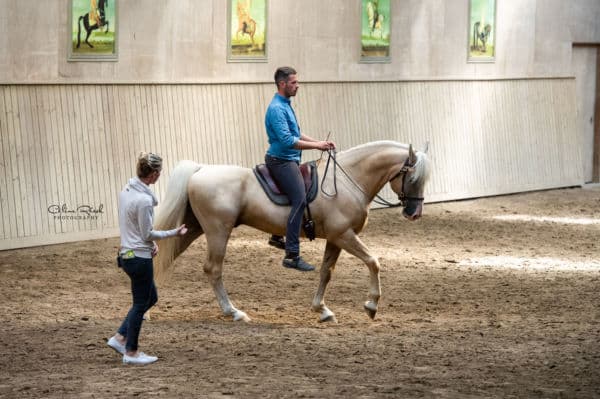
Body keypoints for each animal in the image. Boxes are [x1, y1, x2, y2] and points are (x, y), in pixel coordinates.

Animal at [152, 142, 428, 324]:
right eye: (413, 178)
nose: (414, 213)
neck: (348, 181)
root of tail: (200, 169)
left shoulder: (335, 239)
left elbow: (327, 272)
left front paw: (322, 310)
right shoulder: (344, 235)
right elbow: (373, 261)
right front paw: (371, 305)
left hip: (192, 229)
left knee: (164, 257)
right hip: (218, 231)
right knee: (213, 269)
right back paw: (233, 312)